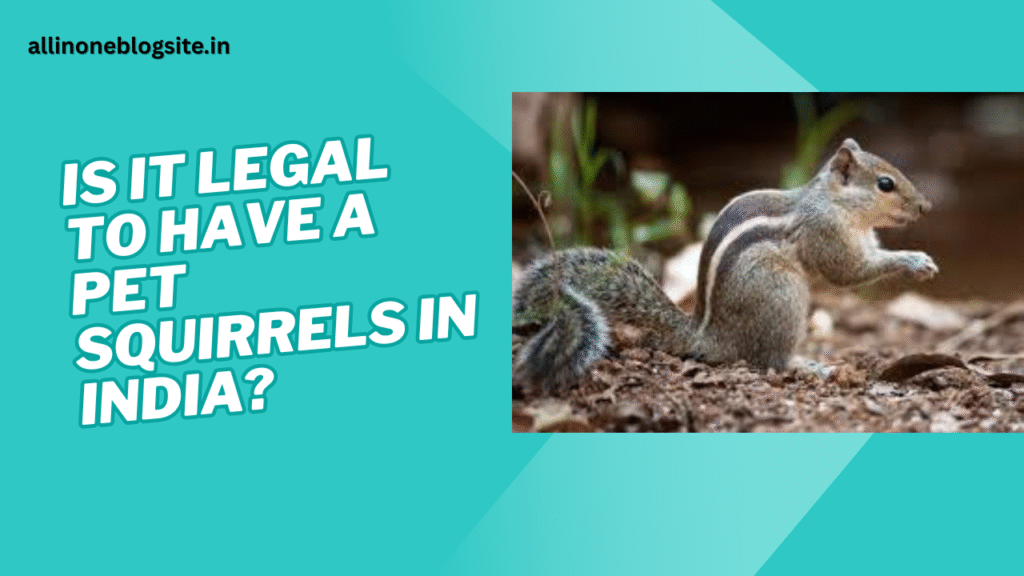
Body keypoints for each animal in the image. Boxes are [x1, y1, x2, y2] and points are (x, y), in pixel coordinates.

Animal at [513, 138, 938, 396]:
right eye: (885, 184)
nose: (925, 207)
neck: (836, 202)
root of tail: (708, 336)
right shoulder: (826, 233)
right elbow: (847, 271)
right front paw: (914, 260)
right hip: (784, 297)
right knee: (769, 361)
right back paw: (809, 366)